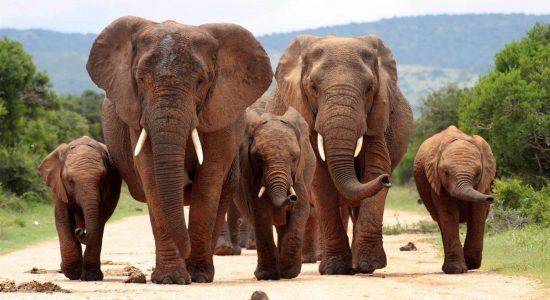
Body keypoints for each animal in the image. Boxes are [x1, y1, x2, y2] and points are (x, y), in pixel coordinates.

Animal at [40, 136, 123, 282]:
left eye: (102, 179)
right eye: (70, 181)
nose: (79, 231)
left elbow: (99, 222)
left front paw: (91, 277)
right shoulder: (59, 187)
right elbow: (63, 218)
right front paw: (72, 273)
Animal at [87, 15, 274, 284]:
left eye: (201, 81)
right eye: (140, 79)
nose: (185, 252)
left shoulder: (220, 113)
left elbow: (208, 181)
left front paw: (196, 276)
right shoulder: (137, 116)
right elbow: (152, 178)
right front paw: (170, 279)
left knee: (222, 193)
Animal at [236, 101, 316, 282]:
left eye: (295, 157)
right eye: (258, 159)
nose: (291, 197)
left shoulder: (299, 174)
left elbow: (300, 209)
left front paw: (289, 273)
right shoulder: (251, 177)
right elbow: (260, 212)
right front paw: (266, 276)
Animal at [268, 34, 414, 274]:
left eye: (370, 88)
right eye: (313, 87)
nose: (387, 180)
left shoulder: (378, 114)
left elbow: (375, 166)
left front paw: (369, 265)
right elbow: (320, 177)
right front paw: (335, 269)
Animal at [416, 125, 498, 274]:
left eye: (478, 173)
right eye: (446, 173)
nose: (490, 198)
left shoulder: (483, 184)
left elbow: (477, 215)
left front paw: (471, 264)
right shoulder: (437, 182)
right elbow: (448, 214)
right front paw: (456, 270)